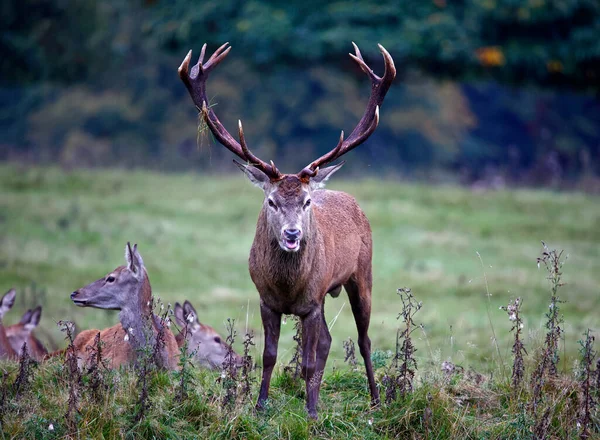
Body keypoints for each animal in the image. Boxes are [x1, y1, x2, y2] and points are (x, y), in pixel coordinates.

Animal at [178, 41, 394, 416]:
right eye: (271, 201)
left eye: (306, 202)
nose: (292, 234)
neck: (288, 286)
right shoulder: (267, 300)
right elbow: (269, 356)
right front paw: (260, 405)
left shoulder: (311, 302)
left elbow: (305, 361)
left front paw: (311, 413)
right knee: (328, 341)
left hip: (361, 274)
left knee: (363, 340)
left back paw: (375, 399)